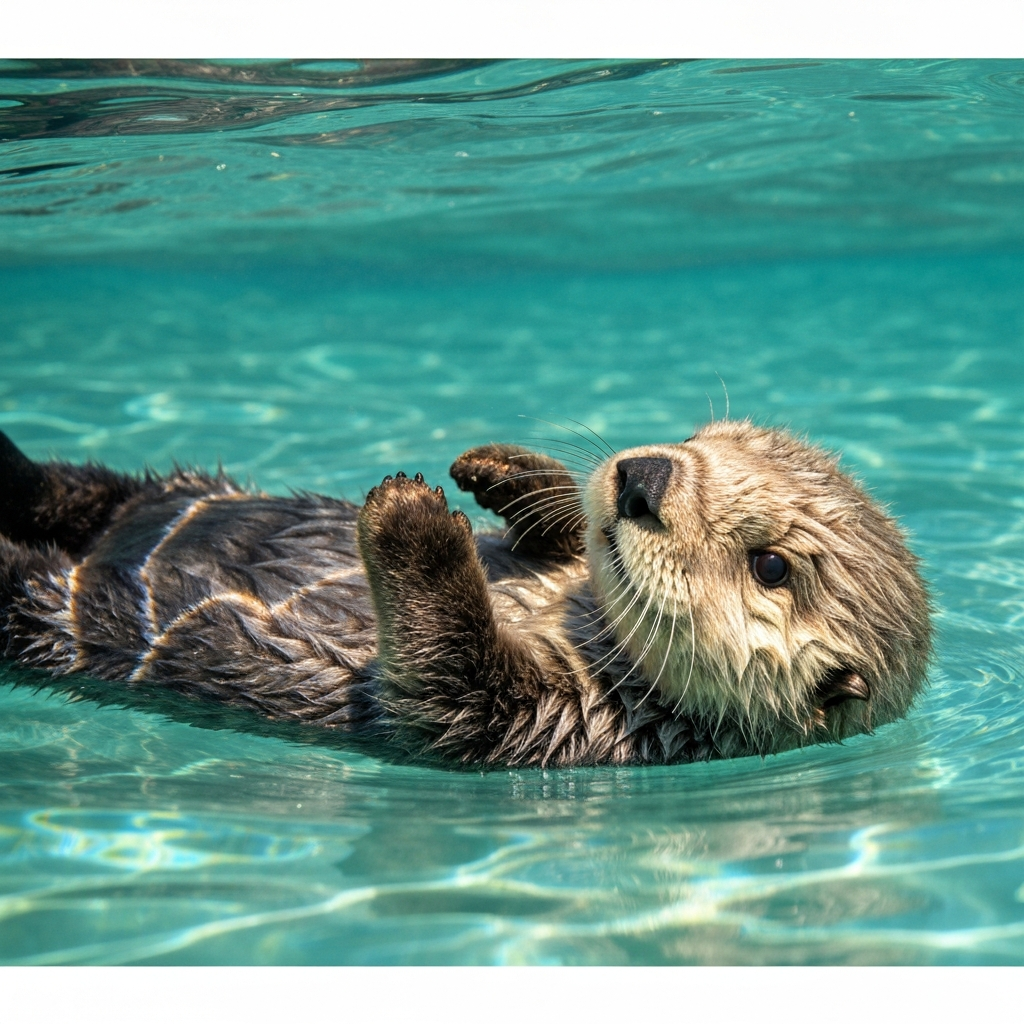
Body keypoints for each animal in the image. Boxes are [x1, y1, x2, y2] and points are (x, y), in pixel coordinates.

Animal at [0, 420, 930, 767]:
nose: (645, 476)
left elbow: (445, 676)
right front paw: (506, 471)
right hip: (148, 491)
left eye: (772, 567)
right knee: (74, 487)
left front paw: (415, 514)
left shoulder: (551, 721)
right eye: (713, 437)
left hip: (49, 609)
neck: (575, 615)